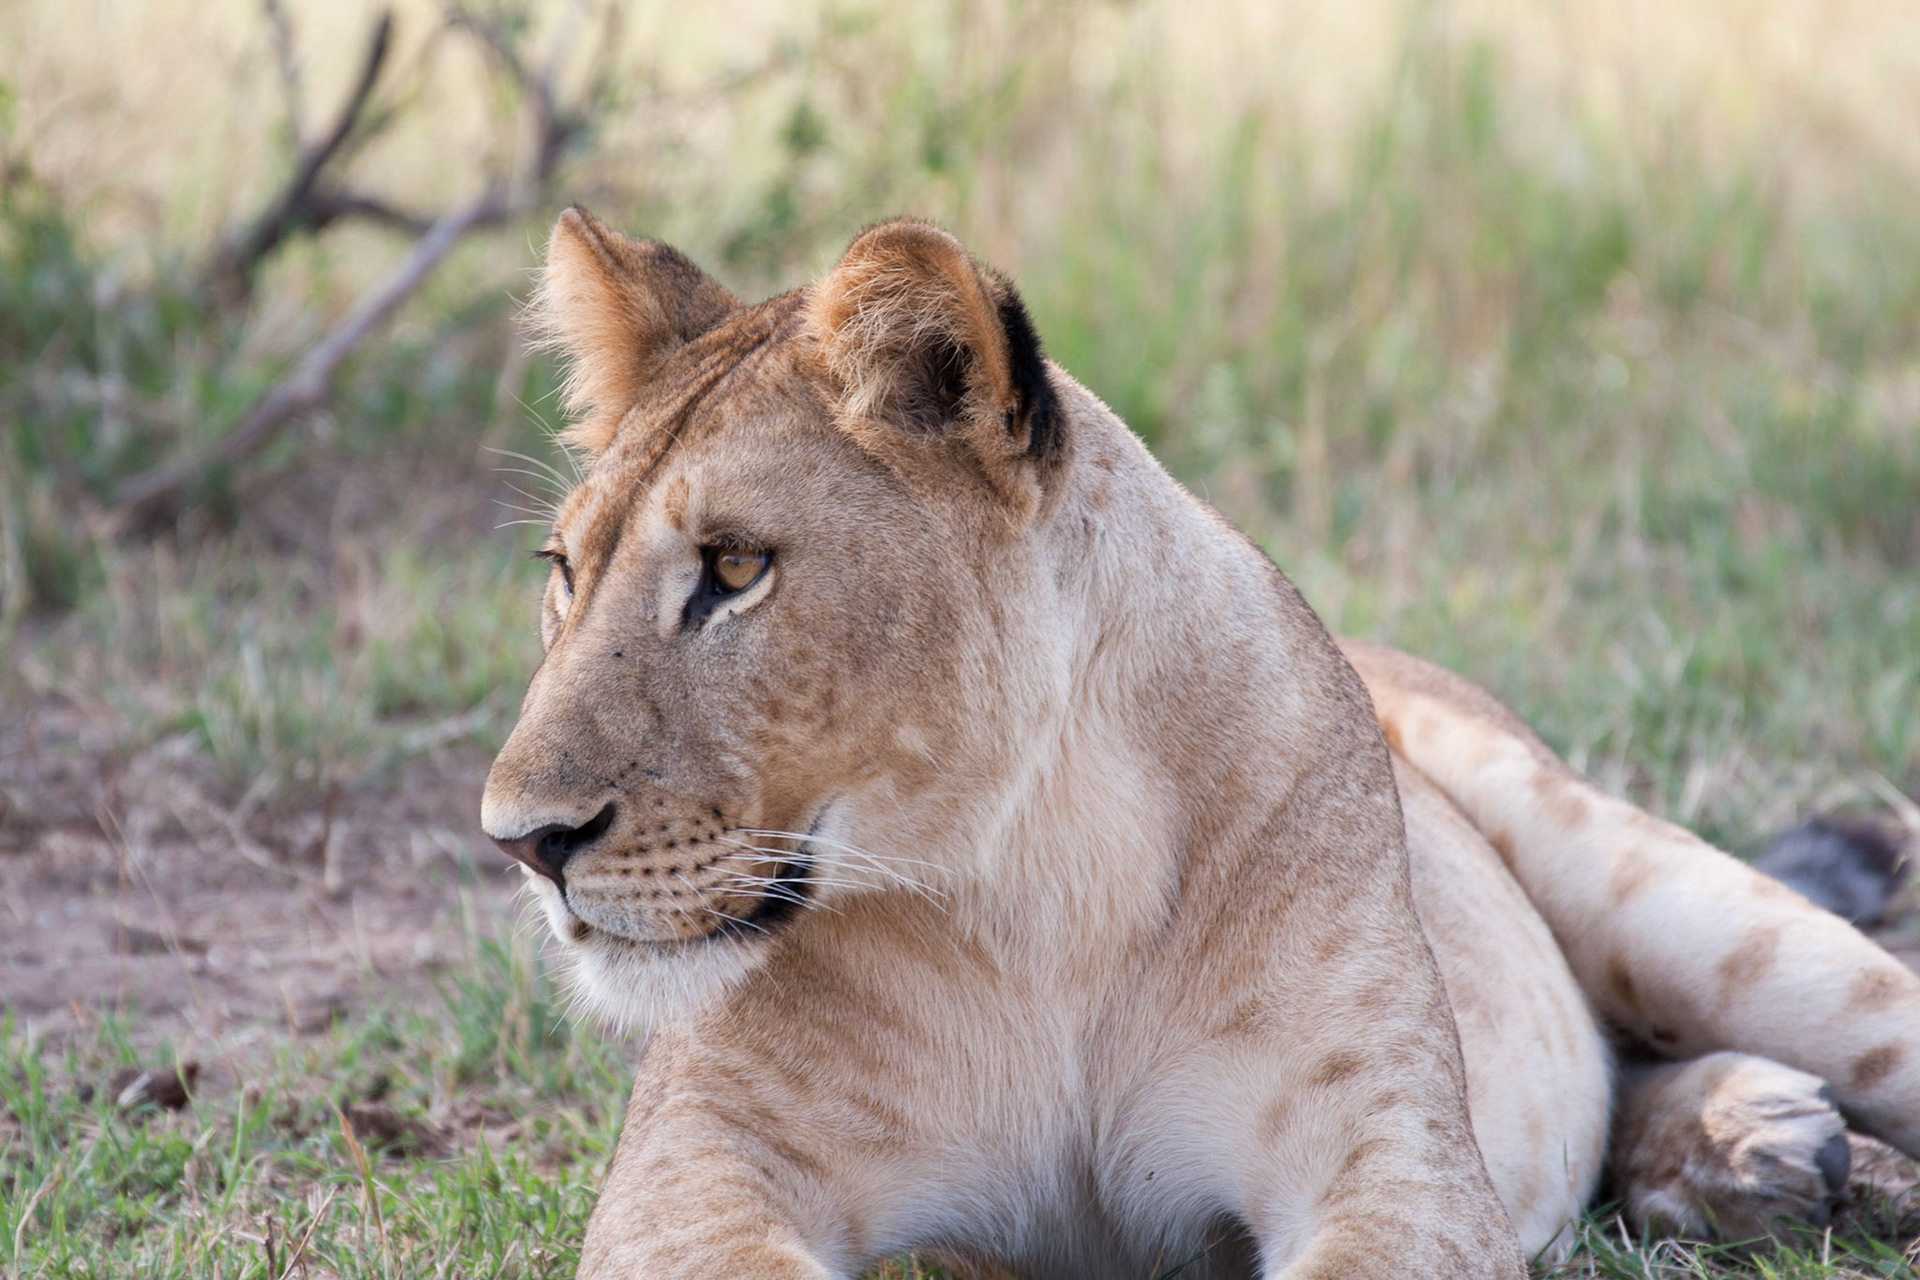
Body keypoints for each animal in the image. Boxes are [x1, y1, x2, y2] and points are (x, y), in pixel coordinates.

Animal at [479, 209, 1920, 1279]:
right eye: (565, 571)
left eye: (733, 568)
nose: (524, 842)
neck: (1036, 888)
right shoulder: (694, 1171)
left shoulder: (1392, 1163)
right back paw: (1760, 1149)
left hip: (1664, 890)